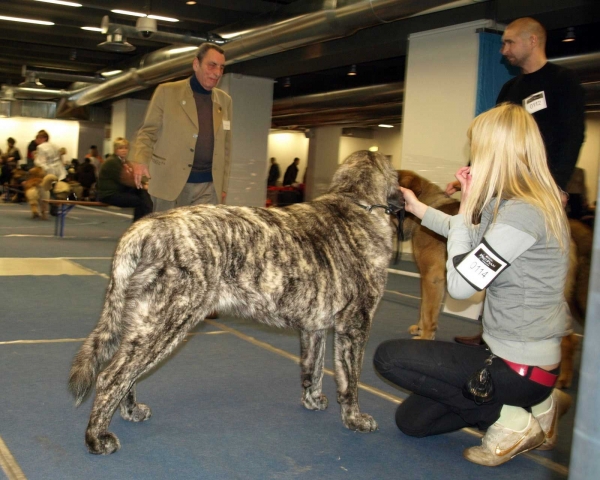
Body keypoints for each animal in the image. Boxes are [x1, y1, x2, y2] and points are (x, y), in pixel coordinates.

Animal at [69, 150, 398, 454]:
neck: (355, 201)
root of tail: (145, 228)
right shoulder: (355, 326)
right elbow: (350, 381)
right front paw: (355, 418)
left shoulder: (314, 329)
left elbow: (312, 370)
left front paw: (313, 400)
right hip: (165, 324)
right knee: (112, 377)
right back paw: (97, 438)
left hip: (142, 327)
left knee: (127, 374)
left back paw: (130, 411)